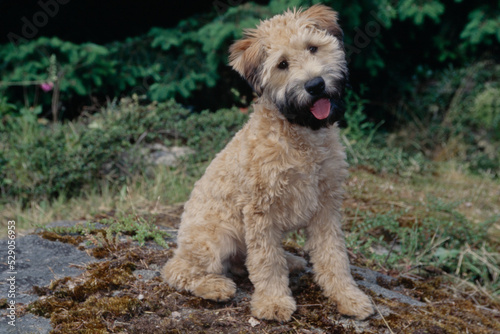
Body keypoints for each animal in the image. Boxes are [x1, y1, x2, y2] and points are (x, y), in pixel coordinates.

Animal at [162, 3, 374, 320]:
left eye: (313, 48)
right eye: (282, 64)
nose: (315, 85)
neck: (300, 135)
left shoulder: (326, 207)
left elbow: (334, 256)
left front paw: (348, 296)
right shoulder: (261, 211)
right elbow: (266, 261)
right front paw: (273, 302)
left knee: (242, 262)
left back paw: (291, 260)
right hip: (215, 238)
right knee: (179, 270)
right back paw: (215, 286)